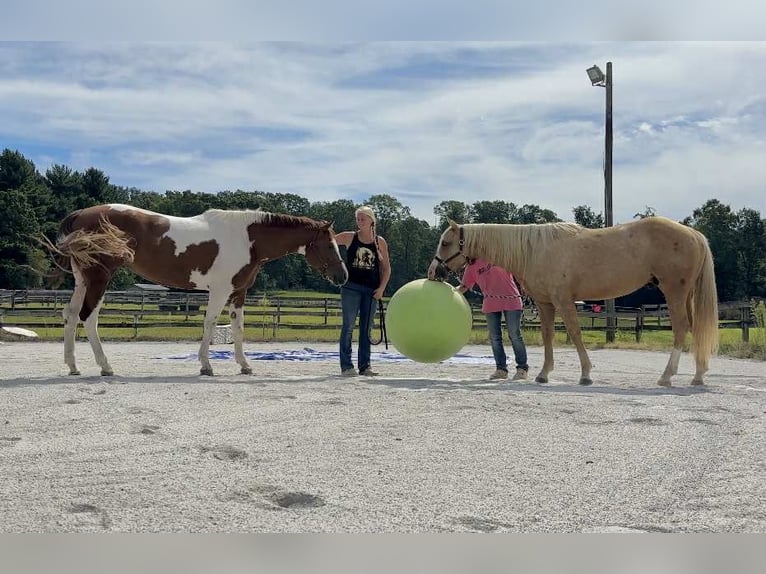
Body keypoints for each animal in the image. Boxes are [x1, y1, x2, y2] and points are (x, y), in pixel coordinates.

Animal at [44, 204, 348, 376]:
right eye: (328, 245)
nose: (343, 276)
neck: (248, 238)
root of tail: (80, 214)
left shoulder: (238, 293)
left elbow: (238, 328)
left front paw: (244, 365)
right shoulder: (220, 291)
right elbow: (210, 324)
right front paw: (206, 366)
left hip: (83, 279)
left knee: (70, 315)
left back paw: (73, 366)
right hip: (100, 278)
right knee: (88, 318)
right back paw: (105, 366)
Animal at [427, 217, 718, 387]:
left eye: (445, 242)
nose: (433, 272)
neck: (535, 251)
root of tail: (694, 234)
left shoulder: (564, 301)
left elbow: (575, 334)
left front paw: (586, 374)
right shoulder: (545, 304)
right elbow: (547, 336)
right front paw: (543, 374)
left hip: (674, 292)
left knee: (681, 328)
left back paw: (667, 376)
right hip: (686, 295)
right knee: (694, 328)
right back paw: (698, 375)